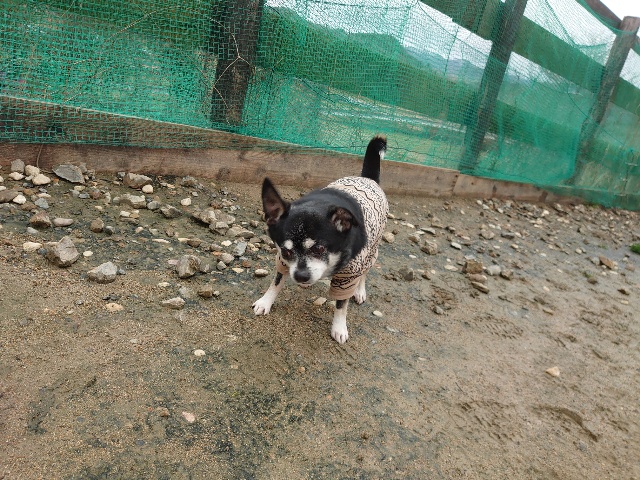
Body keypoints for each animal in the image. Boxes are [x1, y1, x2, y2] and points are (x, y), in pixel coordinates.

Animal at [253, 136, 389, 343]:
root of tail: (368, 178)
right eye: (286, 251)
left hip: (371, 249)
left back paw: (360, 291)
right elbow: (276, 282)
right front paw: (265, 302)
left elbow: (341, 304)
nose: (301, 276)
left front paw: (339, 328)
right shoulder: (282, 262)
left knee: (366, 271)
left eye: (319, 249)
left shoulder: (348, 276)